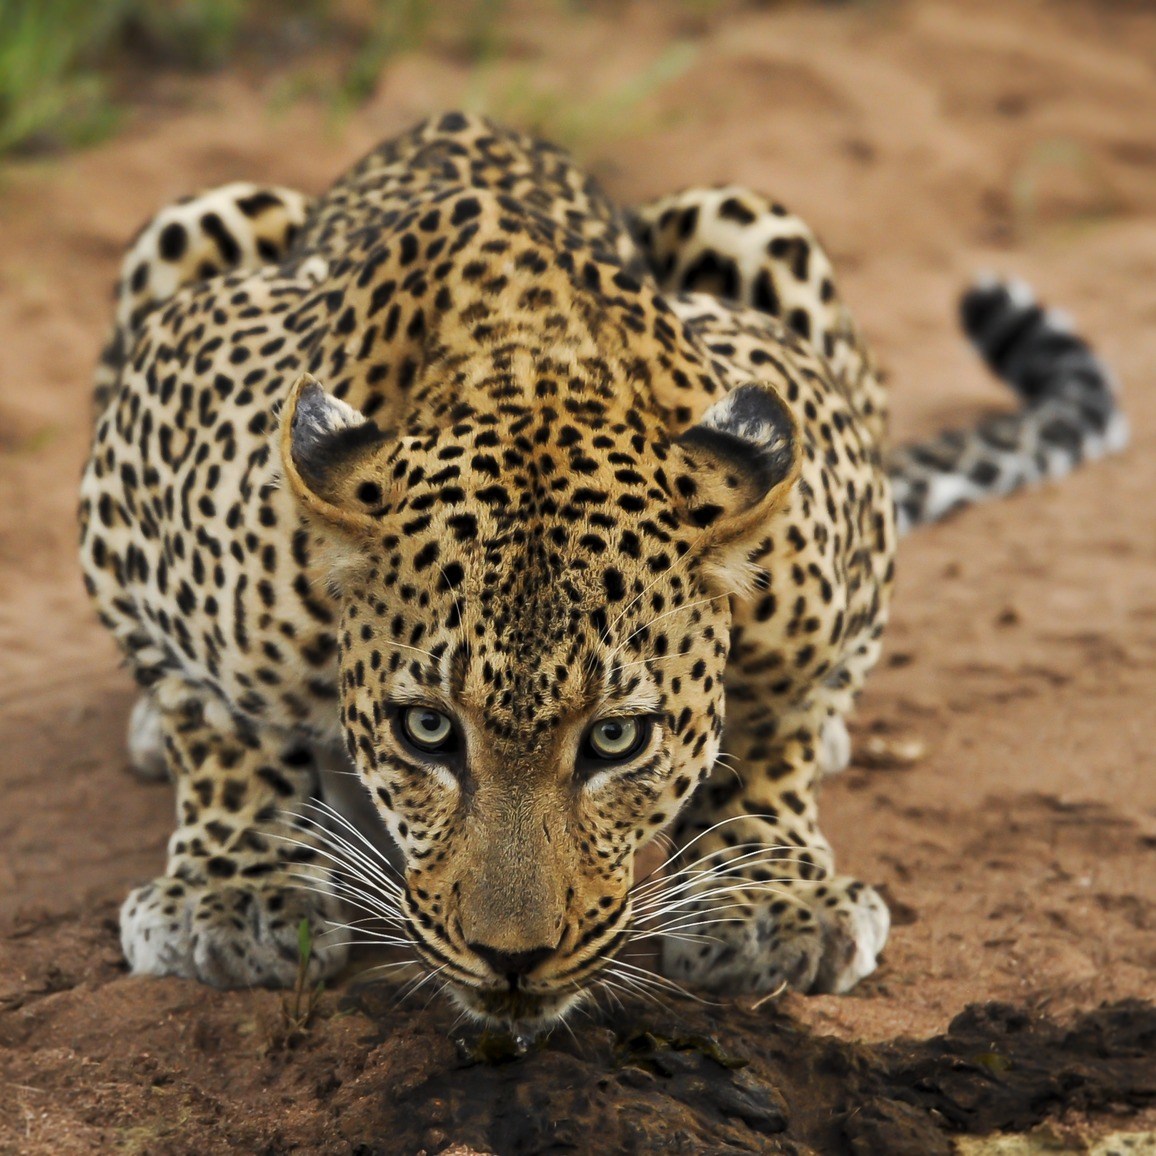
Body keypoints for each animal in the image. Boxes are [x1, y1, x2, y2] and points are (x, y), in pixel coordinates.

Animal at [76, 112, 1123, 1026]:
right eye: (426, 730)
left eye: (617, 740)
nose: (512, 960)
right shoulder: (129, 483)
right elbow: (215, 719)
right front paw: (234, 892)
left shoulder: (840, 553)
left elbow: (780, 727)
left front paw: (768, 899)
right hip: (192, 221)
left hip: (749, 219)